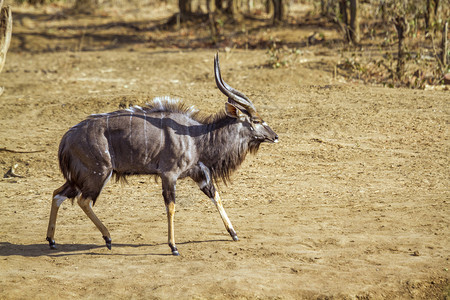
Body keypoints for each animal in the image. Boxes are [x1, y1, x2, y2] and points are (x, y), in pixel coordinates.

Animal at [45, 54, 278, 255]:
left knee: (57, 194)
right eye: (256, 120)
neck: (197, 138)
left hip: (78, 178)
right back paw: (108, 238)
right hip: (98, 174)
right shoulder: (169, 175)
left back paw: (52, 240)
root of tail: (67, 138)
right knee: (84, 201)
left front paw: (233, 233)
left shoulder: (199, 174)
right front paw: (173, 246)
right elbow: (171, 206)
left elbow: (216, 196)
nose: (275, 136)